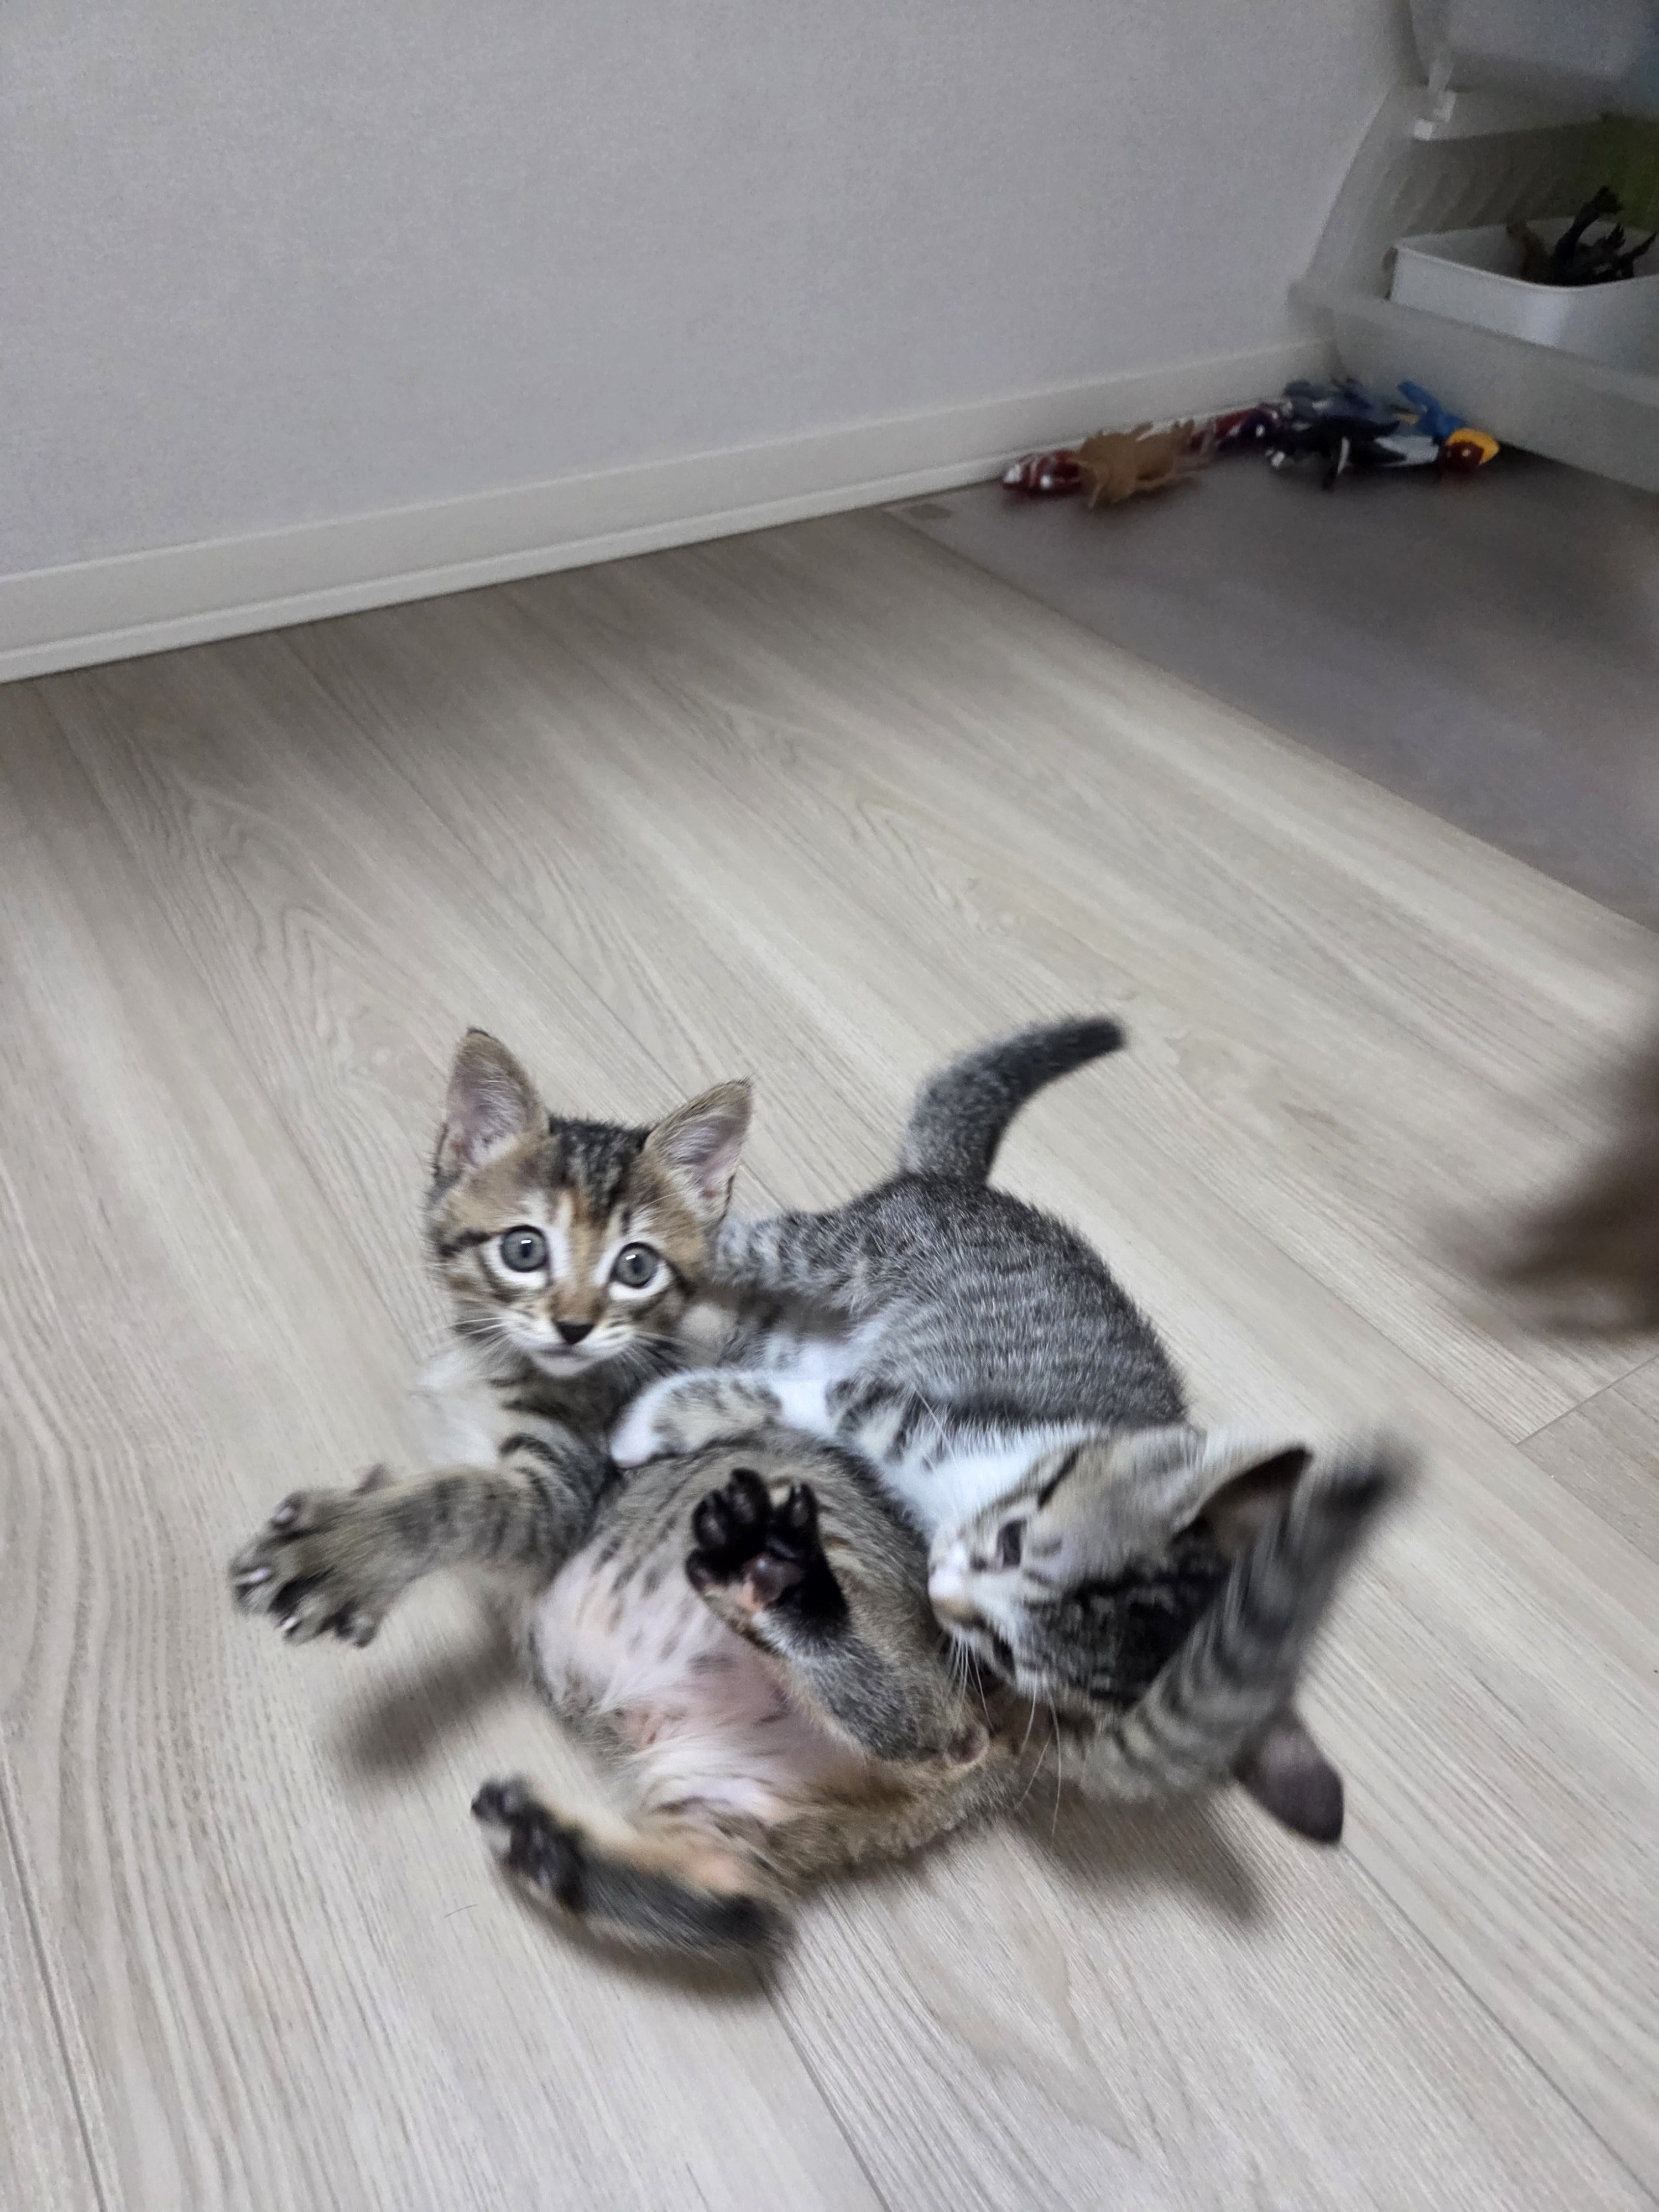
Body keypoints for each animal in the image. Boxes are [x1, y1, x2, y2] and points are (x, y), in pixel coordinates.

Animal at [610, 1019, 1405, 1838]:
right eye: (1014, 1542)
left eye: (1005, 1652)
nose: (944, 1588)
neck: (967, 1492)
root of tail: (967, 1186)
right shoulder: (904, 1408)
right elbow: (801, 1394)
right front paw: (652, 1420)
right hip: (849, 1251)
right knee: (741, 1241)